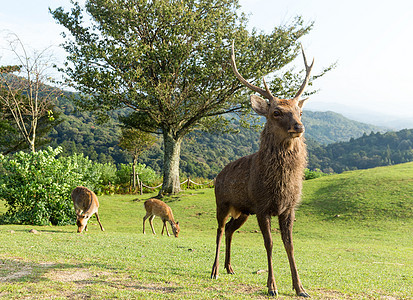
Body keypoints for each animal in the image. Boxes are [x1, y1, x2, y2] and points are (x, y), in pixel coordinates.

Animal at [209, 42, 312, 298]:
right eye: (276, 112)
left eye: (300, 112)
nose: (299, 126)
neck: (280, 186)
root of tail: (218, 175)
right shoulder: (263, 206)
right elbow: (269, 244)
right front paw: (272, 286)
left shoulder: (288, 209)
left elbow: (290, 245)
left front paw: (300, 287)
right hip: (222, 202)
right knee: (219, 229)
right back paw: (214, 270)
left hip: (243, 211)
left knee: (230, 229)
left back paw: (229, 267)